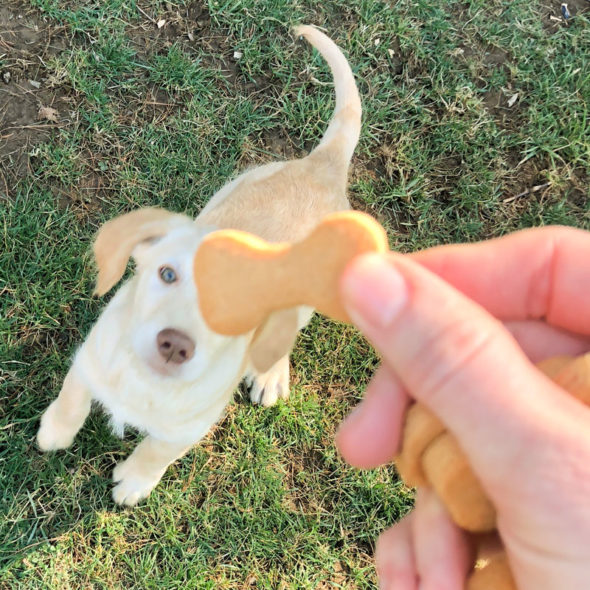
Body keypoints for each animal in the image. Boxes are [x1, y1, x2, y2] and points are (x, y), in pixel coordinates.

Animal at [37, 25, 364, 506]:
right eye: (167, 274)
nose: (175, 345)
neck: (146, 382)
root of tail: (322, 167)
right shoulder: (89, 356)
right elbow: (72, 396)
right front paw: (54, 432)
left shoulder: (189, 427)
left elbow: (157, 450)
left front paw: (133, 483)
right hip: (231, 187)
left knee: (285, 333)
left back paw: (270, 375)